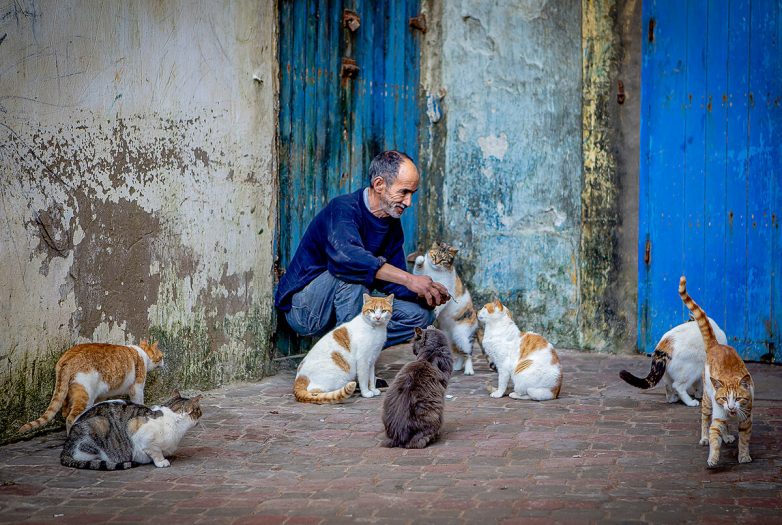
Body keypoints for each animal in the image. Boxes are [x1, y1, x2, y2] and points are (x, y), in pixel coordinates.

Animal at [18, 340, 165, 434]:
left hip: (69, 394)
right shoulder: (137, 387)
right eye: (161, 356)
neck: (142, 354)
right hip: (85, 394)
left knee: (65, 412)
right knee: (70, 418)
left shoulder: (101, 395)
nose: (164, 362)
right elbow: (139, 402)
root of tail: (68, 357)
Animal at [61, 388, 202, 470]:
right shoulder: (138, 431)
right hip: (99, 424)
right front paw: (161, 461)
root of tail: (65, 448)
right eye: (199, 411)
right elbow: (155, 451)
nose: (202, 414)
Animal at [416, 239, 484, 374]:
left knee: (467, 354)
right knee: (460, 353)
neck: (434, 272)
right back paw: (456, 367)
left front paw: (436, 310)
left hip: (463, 336)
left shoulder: (446, 289)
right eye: (434, 256)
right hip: (450, 339)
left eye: (443, 260)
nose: (436, 263)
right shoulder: (421, 277)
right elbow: (418, 269)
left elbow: (441, 303)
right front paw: (420, 259)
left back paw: (469, 370)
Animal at [684, 274, 756, 466]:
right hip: (708, 400)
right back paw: (704, 437)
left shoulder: (746, 418)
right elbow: (714, 436)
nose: (730, 407)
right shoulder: (717, 414)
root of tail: (716, 345)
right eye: (724, 397)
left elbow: (744, 439)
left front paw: (743, 456)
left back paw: (727, 435)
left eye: (738, 398)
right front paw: (713, 458)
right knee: (705, 418)